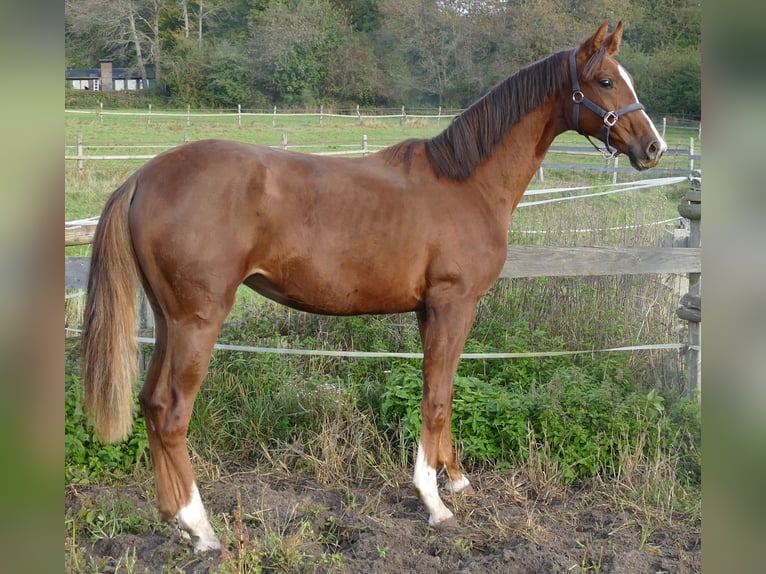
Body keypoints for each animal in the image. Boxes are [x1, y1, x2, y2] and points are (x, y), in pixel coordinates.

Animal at [79, 21, 664, 552]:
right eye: (606, 81)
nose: (653, 147)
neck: (465, 182)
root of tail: (144, 177)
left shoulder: (431, 311)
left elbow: (443, 390)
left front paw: (456, 479)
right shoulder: (453, 304)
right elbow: (435, 397)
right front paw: (434, 502)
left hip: (169, 318)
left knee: (150, 402)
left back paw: (173, 516)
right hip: (198, 321)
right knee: (171, 410)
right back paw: (201, 529)